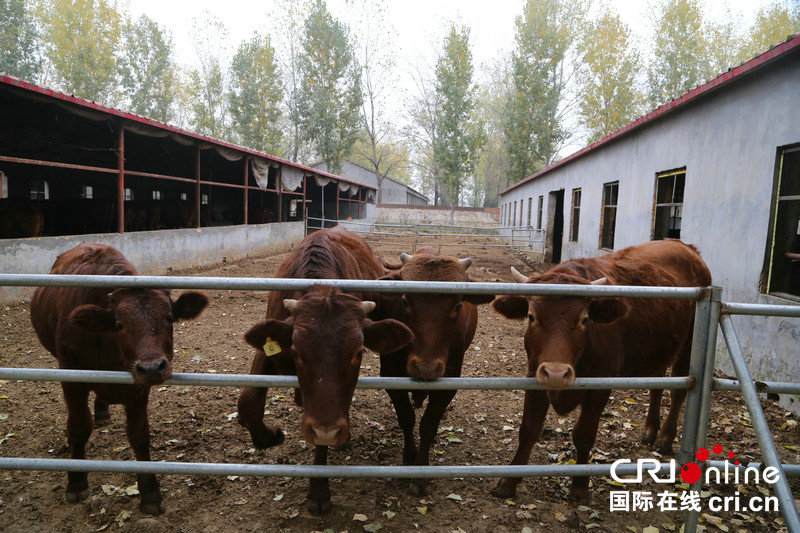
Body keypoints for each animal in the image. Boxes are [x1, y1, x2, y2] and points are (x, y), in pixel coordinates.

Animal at [29, 243, 208, 512]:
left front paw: (150, 492)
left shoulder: (138, 386)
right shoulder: (71, 377)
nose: (152, 367)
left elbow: (139, 435)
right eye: (120, 324)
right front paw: (76, 482)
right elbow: (78, 426)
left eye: (169, 318)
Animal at [236, 225, 412, 516]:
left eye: (359, 352)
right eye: (297, 351)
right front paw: (271, 435)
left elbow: (322, 439)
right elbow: (249, 401)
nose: (326, 429)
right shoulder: (271, 346)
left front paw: (318, 491)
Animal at [376, 247, 494, 492]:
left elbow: (428, 425)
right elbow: (406, 418)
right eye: (405, 300)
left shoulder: (449, 380)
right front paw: (409, 459)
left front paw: (421, 472)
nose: (426, 367)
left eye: (457, 305)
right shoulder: (389, 373)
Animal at [494, 240, 712, 498]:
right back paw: (650, 429)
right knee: (656, 385)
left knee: (678, 391)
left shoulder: (601, 386)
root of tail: (686, 247)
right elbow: (529, 428)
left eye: (584, 319)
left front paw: (579, 487)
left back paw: (665, 438)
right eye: (531, 316)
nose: (557, 373)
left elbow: (584, 434)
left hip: (688, 345)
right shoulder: (535, 375)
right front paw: (508, 481)